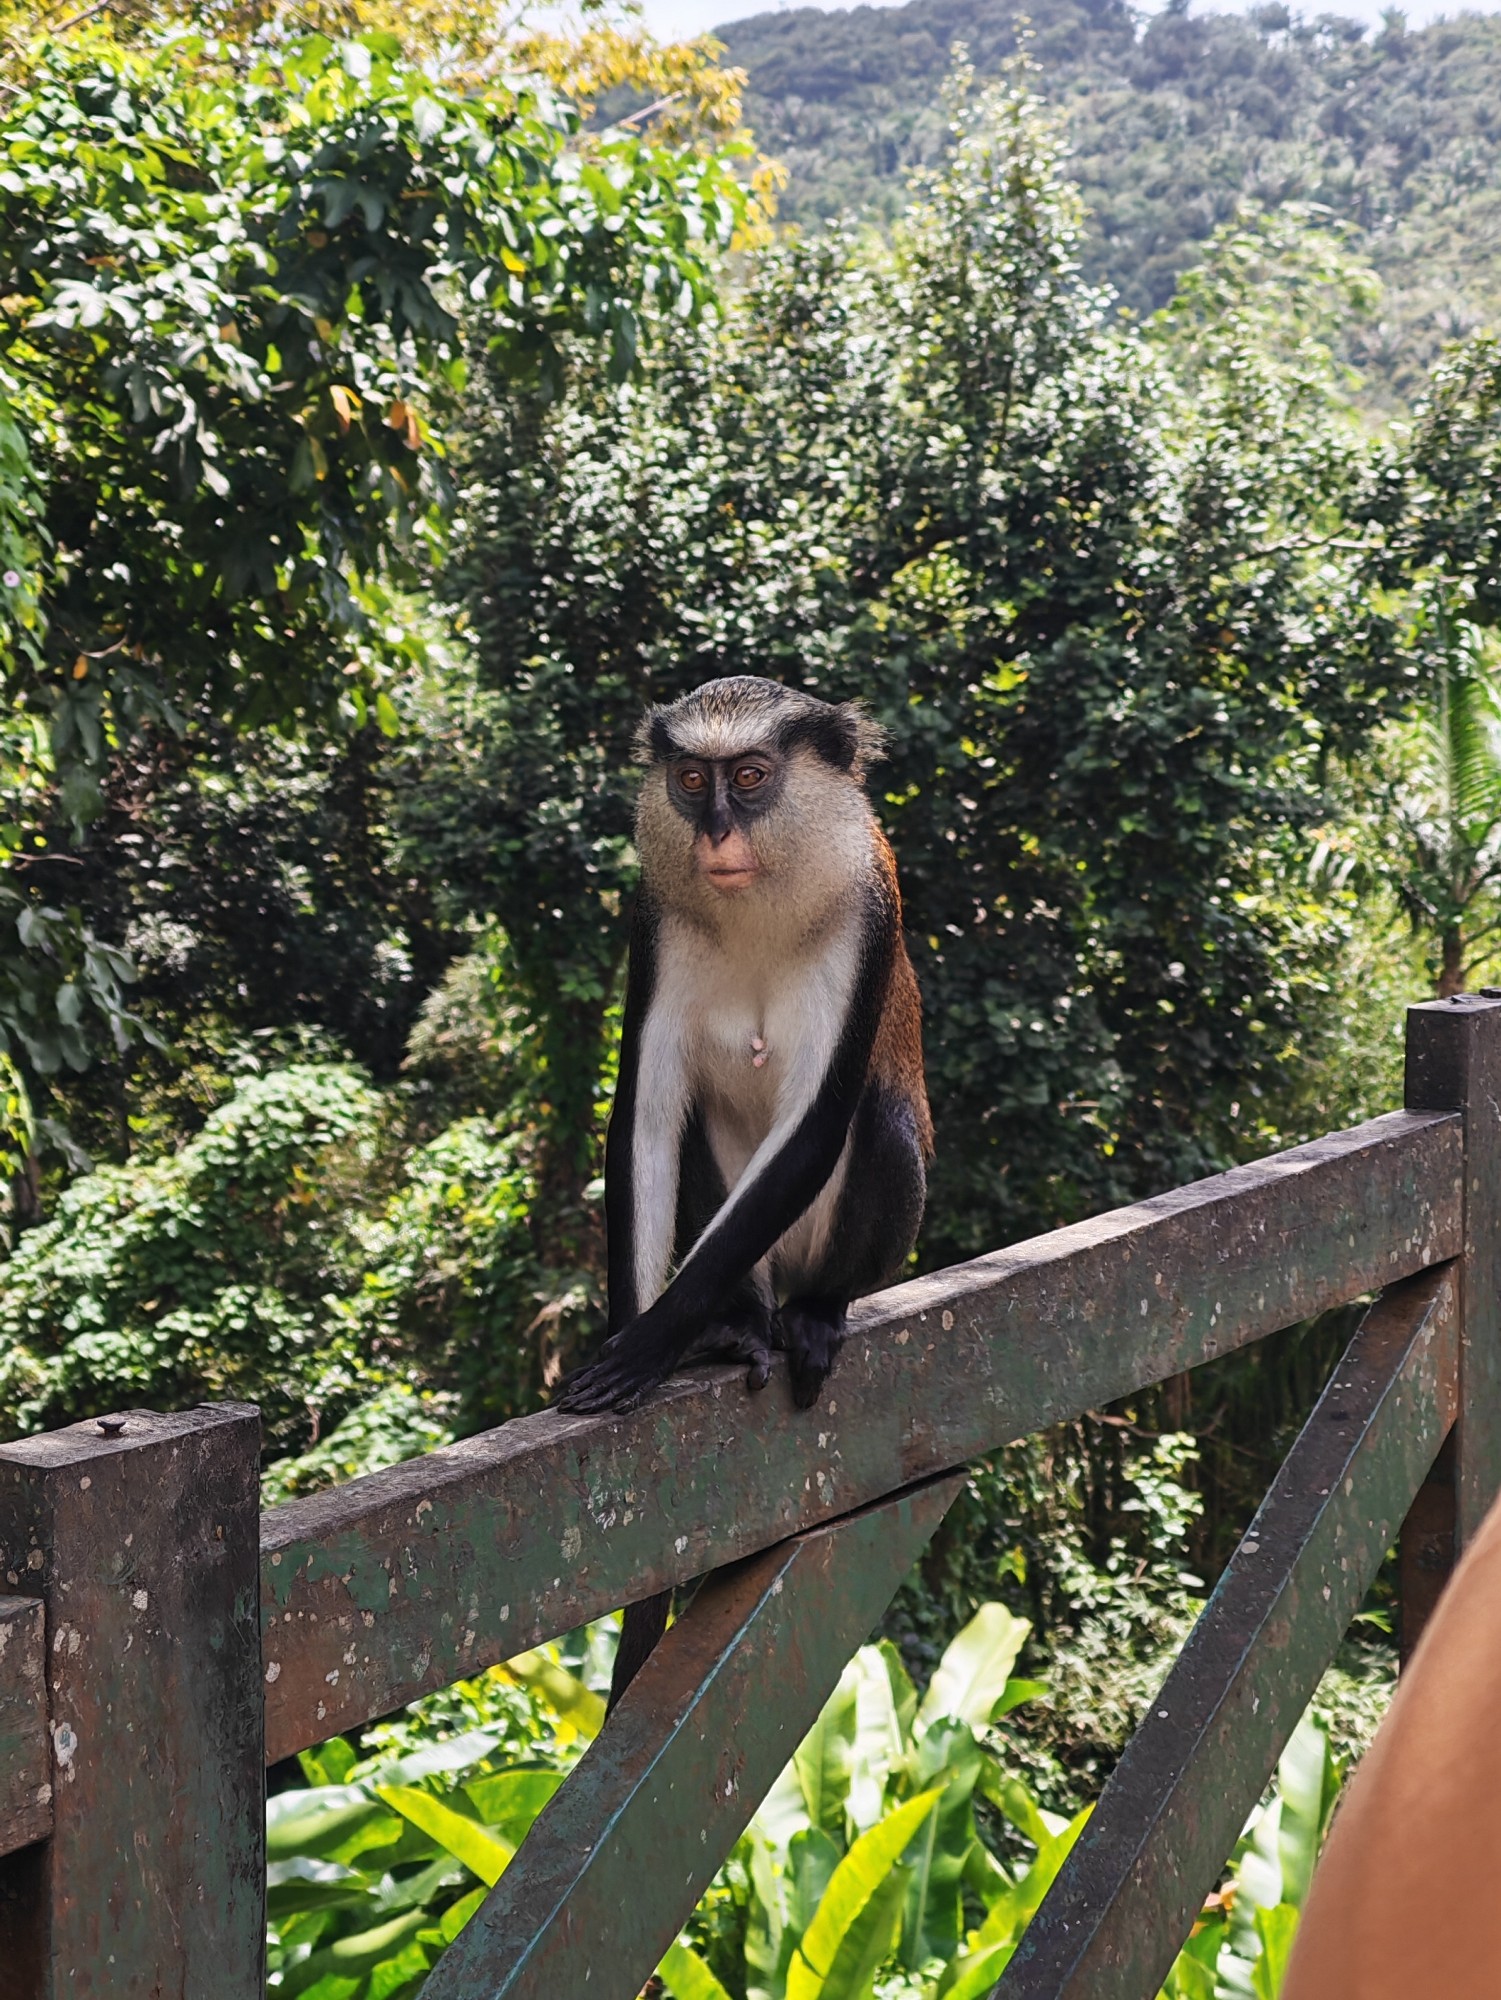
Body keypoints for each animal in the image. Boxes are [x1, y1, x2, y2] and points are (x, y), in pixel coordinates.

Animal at [555, 678, 932, 1698]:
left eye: (753, 778)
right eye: (692, 780)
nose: (717, 832)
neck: (760, 900)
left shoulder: (869, 915)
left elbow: (817, 1123)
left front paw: (647, 1346)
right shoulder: (652, 920)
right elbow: (644, 1121)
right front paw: (638, 1333)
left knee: (880, 1121)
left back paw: (812, 1314)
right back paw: (739, 1325)